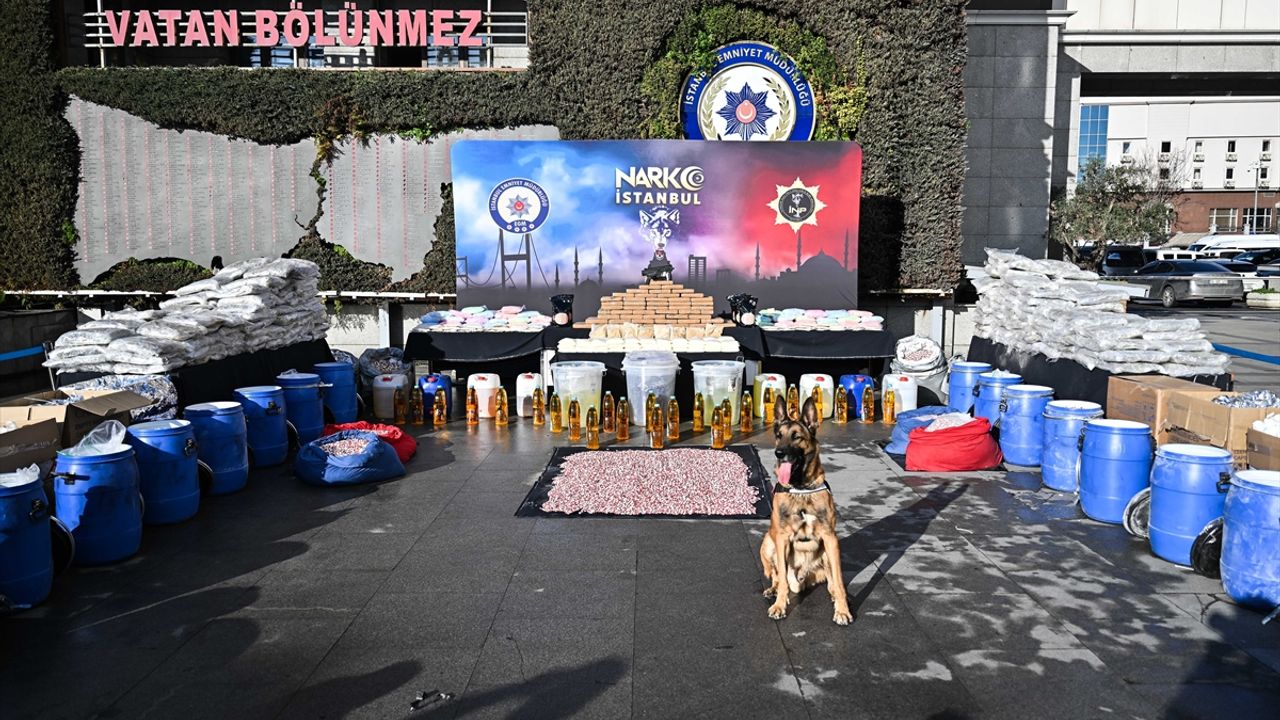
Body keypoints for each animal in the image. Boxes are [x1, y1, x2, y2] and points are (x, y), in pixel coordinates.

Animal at [759, 396, 853, 626]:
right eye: (779, 436)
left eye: (797, 437)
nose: (779, 453)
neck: (800, 489)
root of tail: (802, 579)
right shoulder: (782, 538)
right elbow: (782, 578)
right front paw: (780, 606)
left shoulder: (830, 538)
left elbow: (839, 581)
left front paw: (842, 610)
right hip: (768, 543)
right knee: (777, 575)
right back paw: (774, 590)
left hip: (828, 553)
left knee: (832, 581)